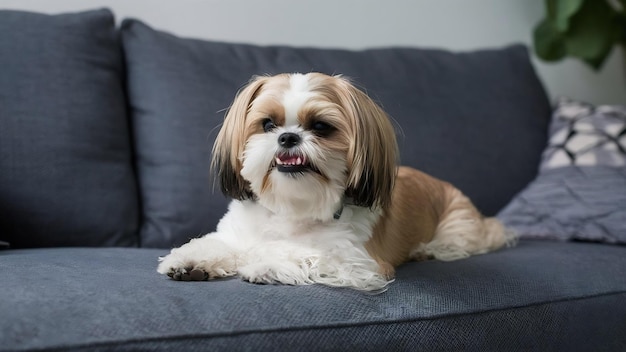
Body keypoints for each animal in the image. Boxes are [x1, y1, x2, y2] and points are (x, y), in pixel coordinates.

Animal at [156, 72, 512, 292]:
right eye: (268, 124)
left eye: (321, 127)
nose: (287, 137)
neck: (293, 206)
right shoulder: (236, 234)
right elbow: (219, 244)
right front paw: (190, 260)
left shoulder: (358, 262)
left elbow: (303, 252)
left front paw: (264, 264)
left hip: (460, 226)